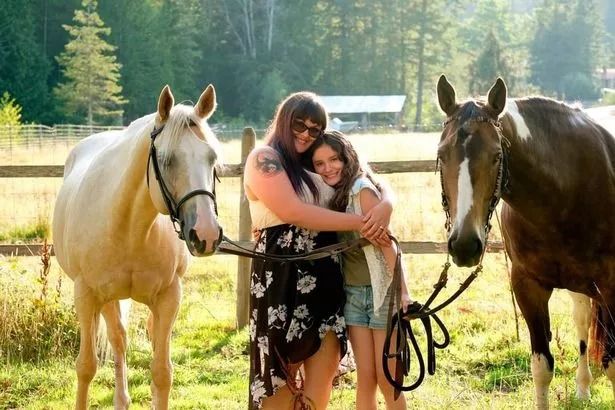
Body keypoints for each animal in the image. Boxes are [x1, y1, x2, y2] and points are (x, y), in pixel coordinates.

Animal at [51, 85, 223, 408]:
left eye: (212, 158)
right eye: (167, 159)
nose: (206, 233)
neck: (130, 228)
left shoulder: (169, 297)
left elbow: (162, 372)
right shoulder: (87, 295)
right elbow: (86, 367)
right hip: (106, 299)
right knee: (118, 339)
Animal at [436, 75, 615, 408]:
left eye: (496, 156)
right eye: (442, 155)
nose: (465, 245)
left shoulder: (611, 288)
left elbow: (613, 366)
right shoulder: (527, 286)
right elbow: (542, 368)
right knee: (582, 320)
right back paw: (583, 387)